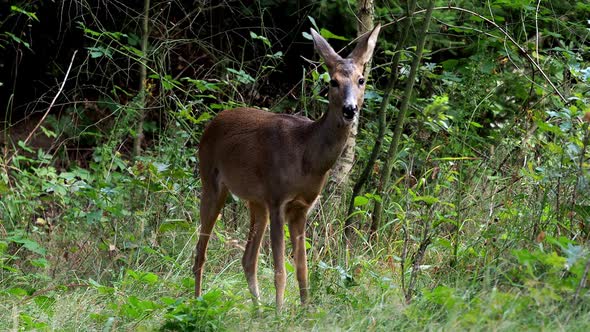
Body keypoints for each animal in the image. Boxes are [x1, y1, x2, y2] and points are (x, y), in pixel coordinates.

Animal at [194, 24, 380, 308]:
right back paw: (196, 302)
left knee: (247, 259)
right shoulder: (277, 199)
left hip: (255, 201)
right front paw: (281, 311)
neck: (307, 157)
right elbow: (280, 269)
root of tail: (214, 121)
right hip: (212, 182)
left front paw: (305, 309)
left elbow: (302, 268)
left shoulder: (302, 207)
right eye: (333, 81)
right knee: (200, 252)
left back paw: (258, 310)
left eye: (361, 80)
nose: (350, 109)